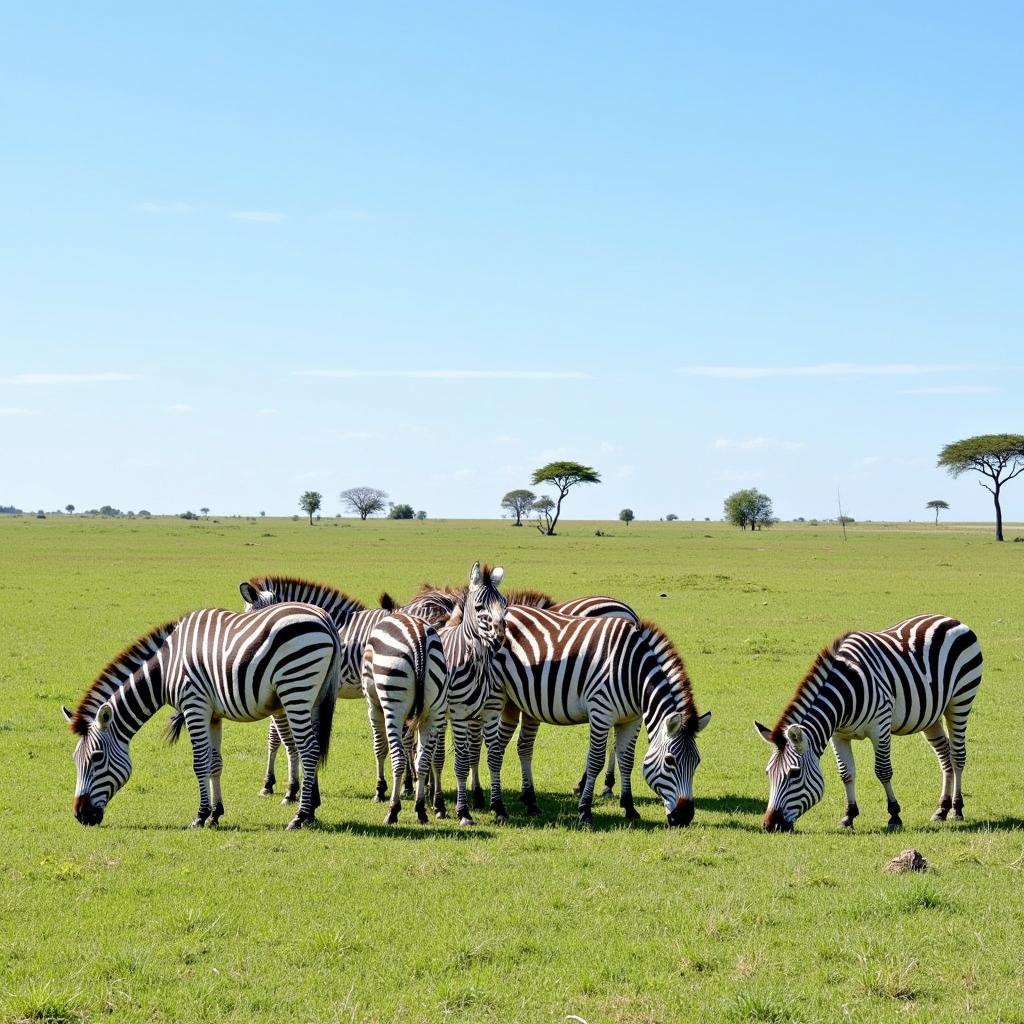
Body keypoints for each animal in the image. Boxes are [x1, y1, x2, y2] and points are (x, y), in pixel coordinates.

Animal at [64, 602, 344, 827]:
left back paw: (299, 817)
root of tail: (324, 617)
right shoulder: (213, 714)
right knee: (313, 747)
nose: (80, 815)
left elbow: (199, 763)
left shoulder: (194, 705)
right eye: (75, 759)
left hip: (295, 686)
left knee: (308, 748)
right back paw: (310, 812)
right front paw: (215, 814)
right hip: (314, 696)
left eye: (97, 757)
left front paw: (199, 817)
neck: (166, 668)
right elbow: (214, 763)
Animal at [362, 606, 446, 823]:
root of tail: (418, 640)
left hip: (394, 706)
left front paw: (380, 790)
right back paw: (420, 809)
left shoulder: (374, 705)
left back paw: (393, 810)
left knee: (398, 758)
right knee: (423, 759)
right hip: (434, 710)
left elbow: (379, 747)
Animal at [483, 602, 708, 827]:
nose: (685, 817)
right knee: (493, 749)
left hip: (515, 702)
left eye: (697, 762)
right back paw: (497, 807)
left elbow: (627, 761)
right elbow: (596, 761)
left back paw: (522, 802)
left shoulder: (632, 720)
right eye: (670, 761)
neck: (633, 674)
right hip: (495, 695)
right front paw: (585, 810)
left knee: (510, 747)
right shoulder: (601, 713)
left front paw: (629, 807)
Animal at [753, 610, 983, 827]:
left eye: (794, 773)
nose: (769, 825)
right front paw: (849, 816)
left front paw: (894, 815)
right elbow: (846, 773)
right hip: (930, 714)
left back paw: (957, 809)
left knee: (957, 755)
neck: (846, 692)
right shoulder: (838, 734)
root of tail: (949, 619)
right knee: (944, 754)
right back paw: (942, 809)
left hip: (960, 700)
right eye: (768, 773)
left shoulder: (880, 727)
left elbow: (883, 771)